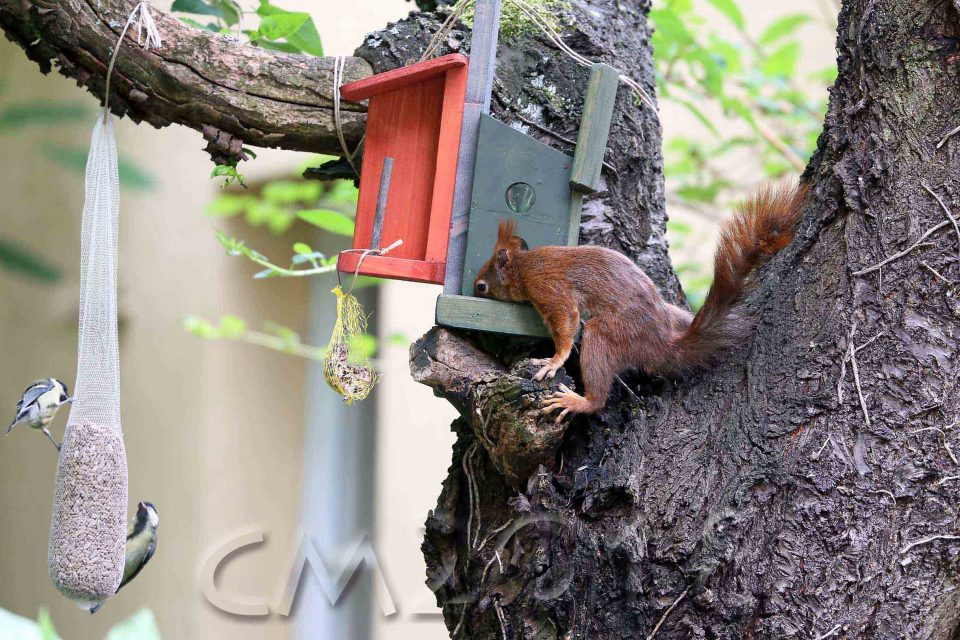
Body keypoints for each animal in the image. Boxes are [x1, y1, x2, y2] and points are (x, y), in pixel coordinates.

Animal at [472, 182, 809, 420]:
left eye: (481, 286)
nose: (473, 292)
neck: (524, 266)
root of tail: (661, 344)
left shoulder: (548, 288)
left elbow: (566, 321)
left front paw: (554, 360)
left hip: (611, 333)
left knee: (598, 389)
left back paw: (580, 401)